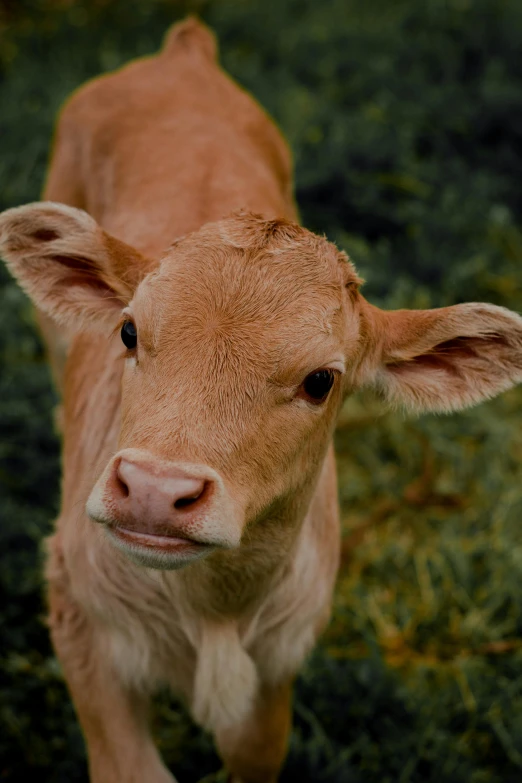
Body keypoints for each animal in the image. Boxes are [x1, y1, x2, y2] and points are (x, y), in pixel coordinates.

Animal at [1, 16, 520, 783]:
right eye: (128, 331)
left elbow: (253, 749)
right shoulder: (79, 619)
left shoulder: (282, 659)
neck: (214, 611)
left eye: (321, 380)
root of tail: (182, 53)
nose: (154, 489)